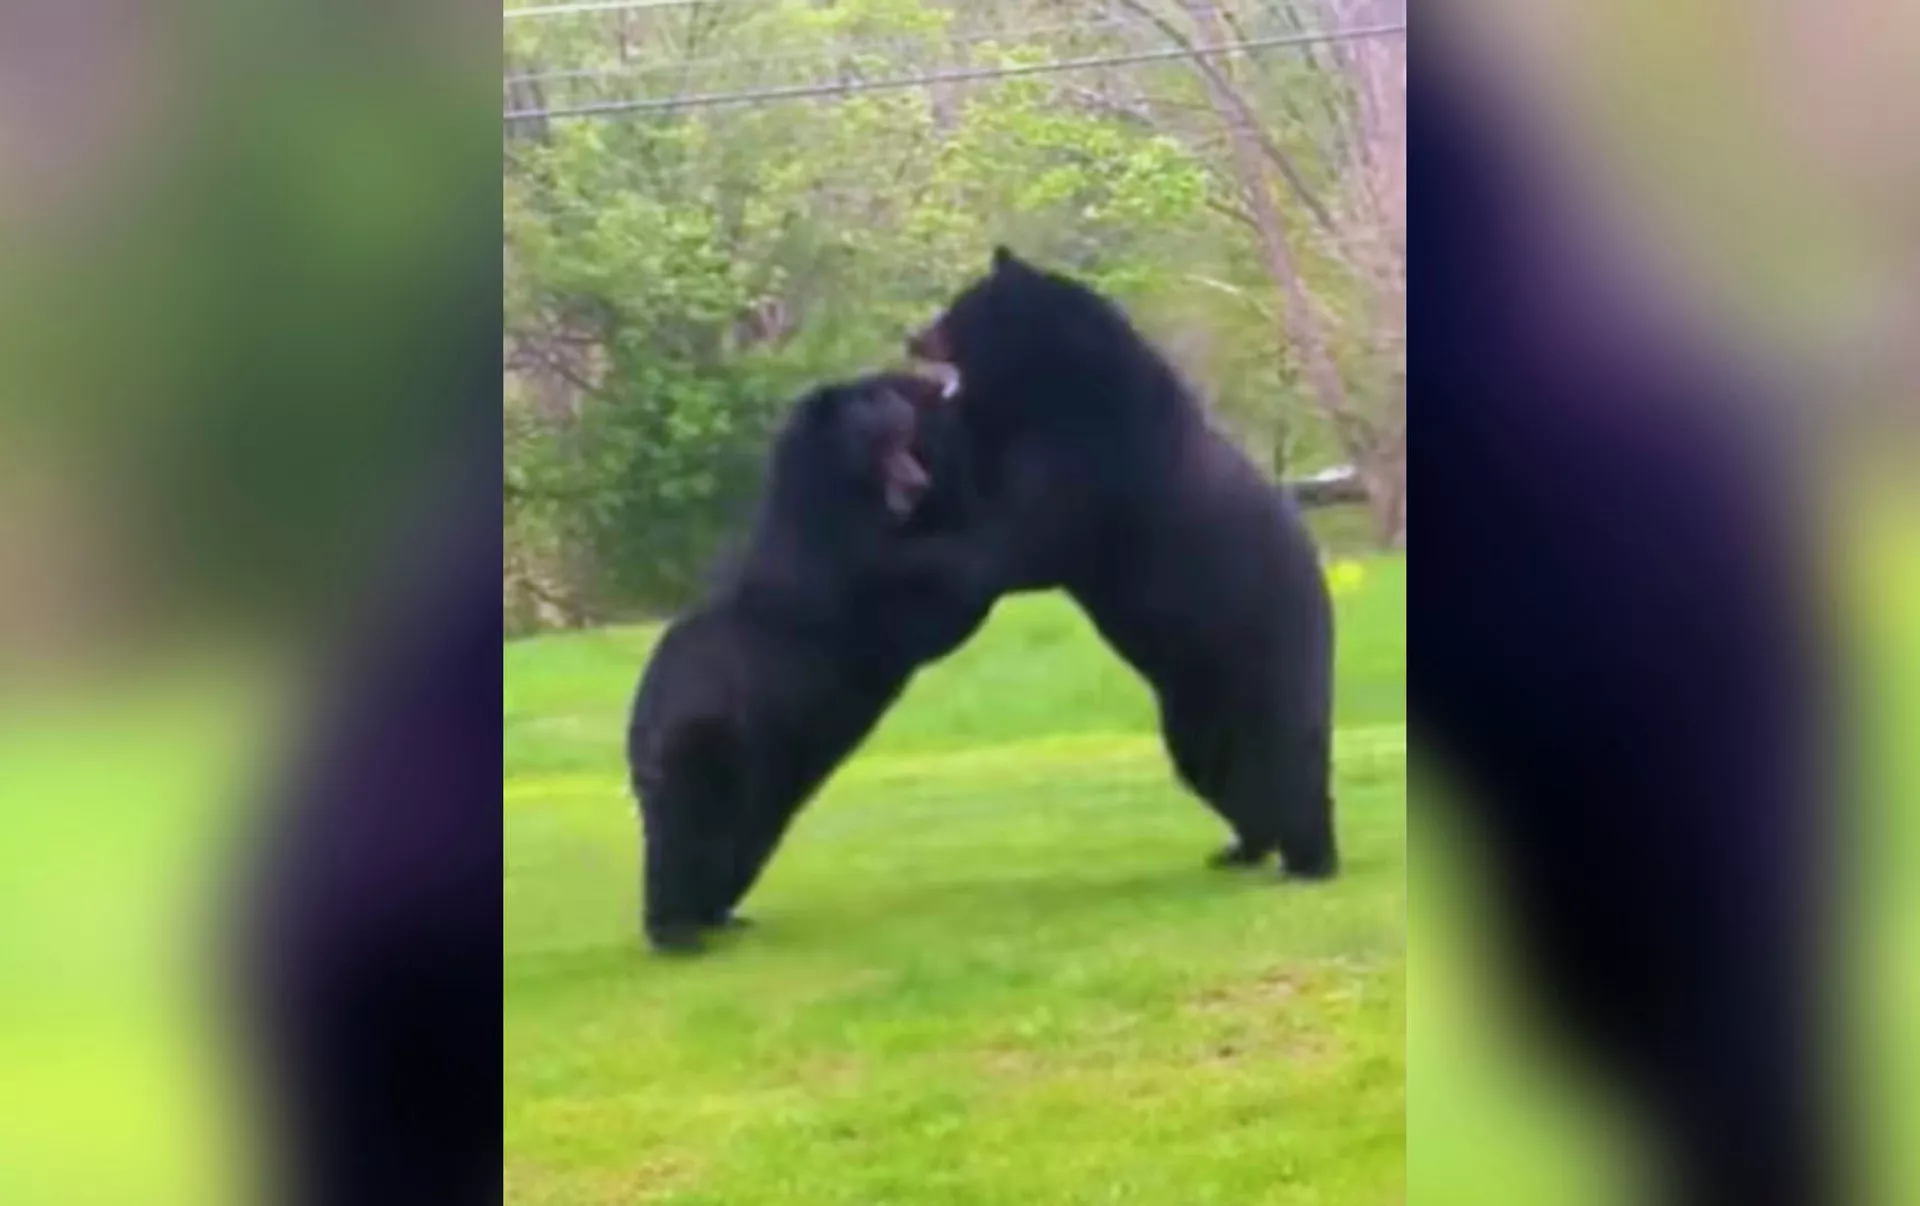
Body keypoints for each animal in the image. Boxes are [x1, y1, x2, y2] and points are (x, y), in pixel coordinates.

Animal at [626, 371, 1000, 953]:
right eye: (880, 428)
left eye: (902, 431)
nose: (915, 481)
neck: (842, 502)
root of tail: (635, 731)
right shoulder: (848, 578)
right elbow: (934, 602)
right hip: (703, 745)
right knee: (684, 835)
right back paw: (676, 931)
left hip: (760, 796)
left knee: (730, 849)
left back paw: (721, 917)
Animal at [908, 247, 1339, 879]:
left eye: (959, 307)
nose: (912, 336)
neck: (1058, 382)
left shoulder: (1097, 461)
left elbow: (1025, 534)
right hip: (1194, 709)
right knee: (1220, 771)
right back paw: (1242, 848)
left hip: (1266, 659)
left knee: (1286, 760)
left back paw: (1310, 860)